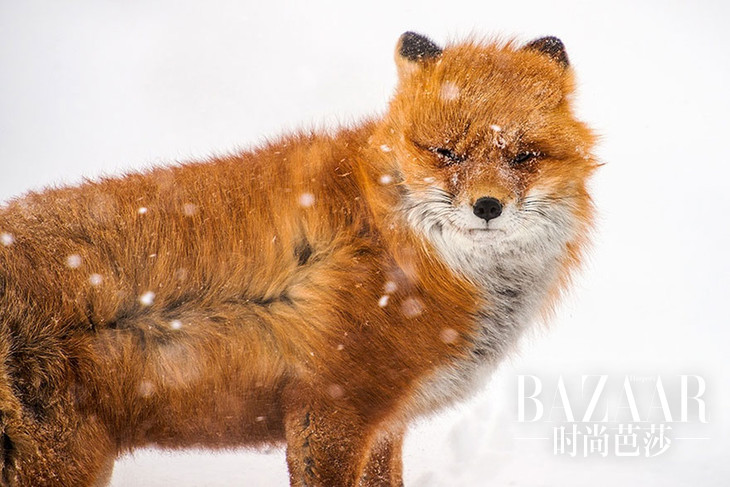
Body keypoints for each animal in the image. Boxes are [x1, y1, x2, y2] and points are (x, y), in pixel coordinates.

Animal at [0, 32, 596, 486]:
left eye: (524, 157)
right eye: (446, 152)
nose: (487, 206)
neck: (397, 245)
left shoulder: (386, 420)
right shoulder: (330, 406)